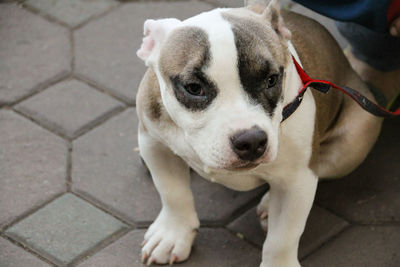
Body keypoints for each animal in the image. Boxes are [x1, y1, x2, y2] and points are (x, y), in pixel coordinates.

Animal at [134, 0, 382, 266]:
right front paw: (172, 234)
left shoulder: (298, 177)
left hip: (358, 135)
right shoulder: (154, 143)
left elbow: (283, 236)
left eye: (272, 80)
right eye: (193, 88)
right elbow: (172, 193)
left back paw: (269, 202)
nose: (251, 141)